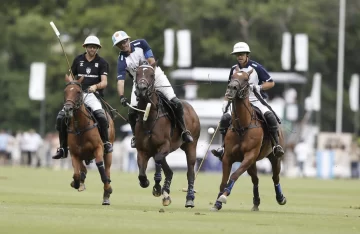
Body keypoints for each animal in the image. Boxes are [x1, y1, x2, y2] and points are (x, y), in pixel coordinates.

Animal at [63, 75, 115, 205]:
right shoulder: (74, 153)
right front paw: (76, 183)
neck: (80, 127)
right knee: (83, 169)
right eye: (65, 91)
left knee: (107, 169)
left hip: (109, 150)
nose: (67, 109)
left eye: (78, 91)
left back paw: (106, 196)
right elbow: (76, 174)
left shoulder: (98, 148)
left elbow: (100, 167)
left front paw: (108, 188)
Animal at [133, 63, 200, 207]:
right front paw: (150, 184)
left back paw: (189, 198)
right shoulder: (142, 150)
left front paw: (161, 188)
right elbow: (142, 174)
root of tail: (190, 107)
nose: (141, 89)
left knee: (190, 172)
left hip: (191, 146)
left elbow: (160, 162)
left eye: (152, 75)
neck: (150, 118)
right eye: (137, 73)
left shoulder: (164, 146)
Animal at [211, 67, 286, 212]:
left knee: (275, 177)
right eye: (232, 77)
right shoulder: (228, 157)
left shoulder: (249, 155)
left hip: (274, 157)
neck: (242, 127)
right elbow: (223, 181)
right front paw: (217, 203)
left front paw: (223, 196)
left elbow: (234, 175)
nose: (231, 89)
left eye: (246, 79)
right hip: (253, 162)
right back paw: (256, 203)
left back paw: (281, 198)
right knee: (255, 179)